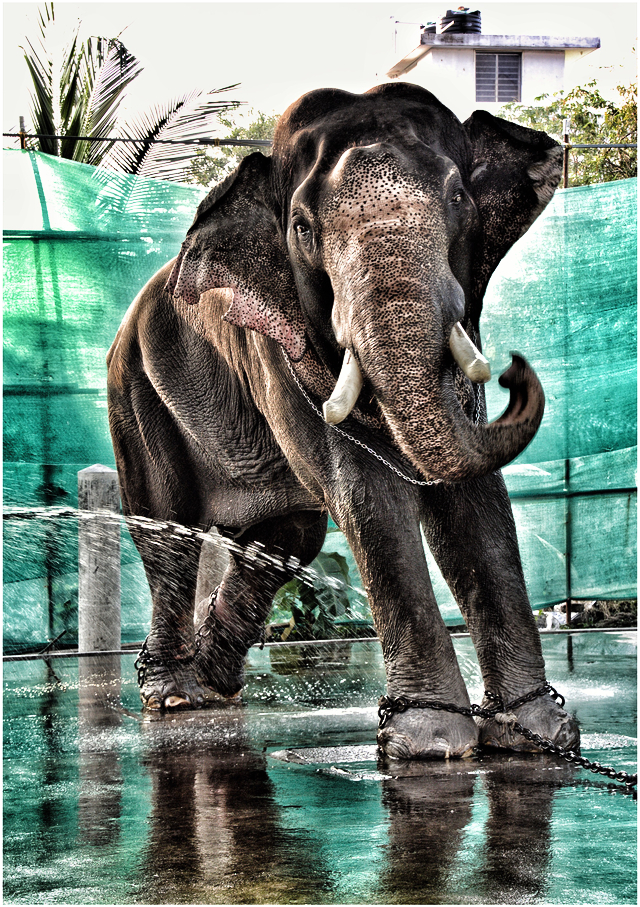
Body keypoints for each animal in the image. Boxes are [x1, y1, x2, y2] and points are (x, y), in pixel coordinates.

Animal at [107, 81, 580, 759]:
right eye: (302, 229)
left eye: (459, 198)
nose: (514, 370)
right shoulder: (280, 351)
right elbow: (364, 493)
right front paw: (430, 741)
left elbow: (472, 500)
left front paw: (535, 732)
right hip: (135, 389)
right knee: (169, 528)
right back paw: (173, 695)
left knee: (283, 538)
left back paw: (215, 684)